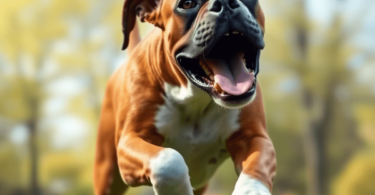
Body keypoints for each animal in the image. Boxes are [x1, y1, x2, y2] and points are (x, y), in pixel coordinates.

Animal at [93, 0, 276, 194]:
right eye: (187, 4)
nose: (224, 4)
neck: (195, 99)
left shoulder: (254, 138)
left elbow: (255, 170)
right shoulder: (130, 141)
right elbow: (169, 162)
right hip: (108, 173)